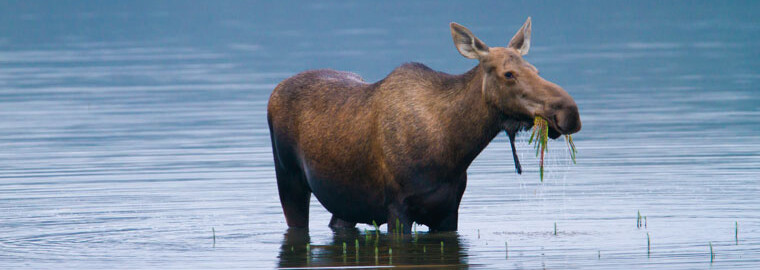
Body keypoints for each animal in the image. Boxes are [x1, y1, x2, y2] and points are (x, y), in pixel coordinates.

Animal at [268, 17, 580, 233]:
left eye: (535, 69)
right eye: (509, 74)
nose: (569, 112)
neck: (455, 147)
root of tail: (274, 91)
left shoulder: (448, 211)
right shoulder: (397, 209)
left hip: (345, 200)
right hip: (289, 180)